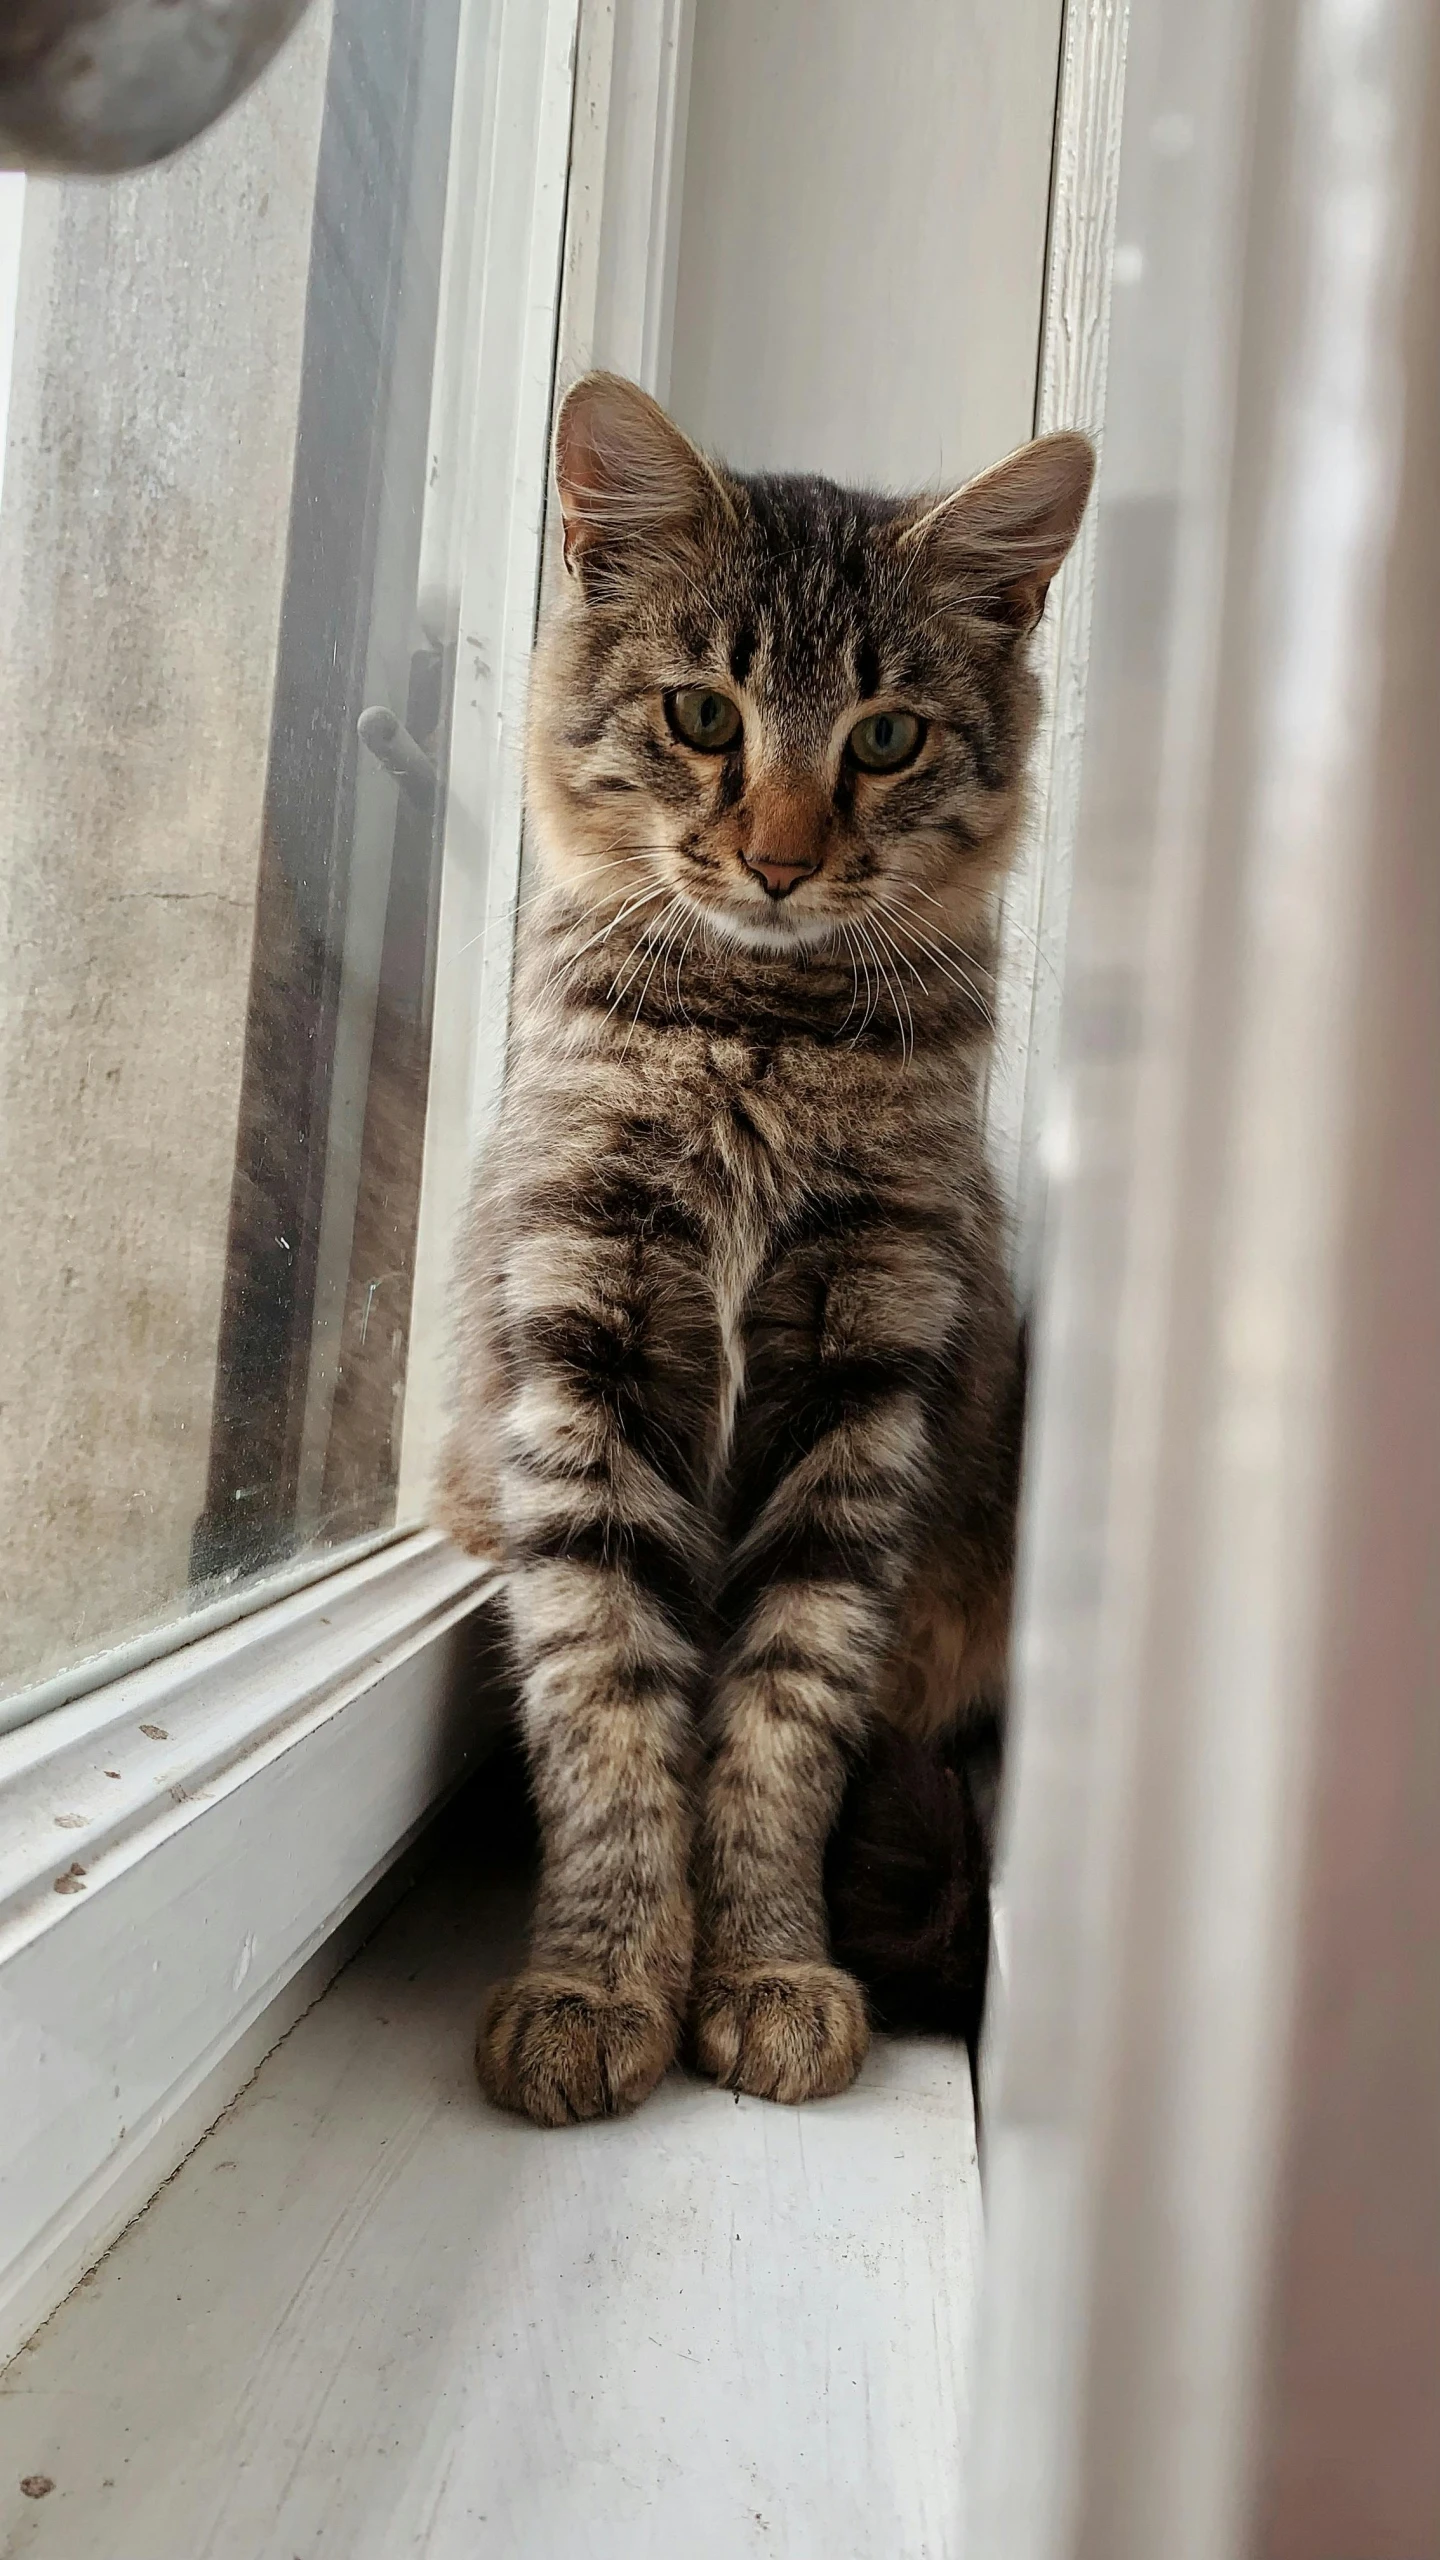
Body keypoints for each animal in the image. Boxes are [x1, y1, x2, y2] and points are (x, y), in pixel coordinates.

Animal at [440, 366, 1086, 2119]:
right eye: (705, 718)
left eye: (885, 737)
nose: (784, 859)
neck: (756, 1044)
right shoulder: (579, 1345)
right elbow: (606, 1702)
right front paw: (600, 1979)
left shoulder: (870, 1380)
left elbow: (781, 1724)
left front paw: (767, 1969)